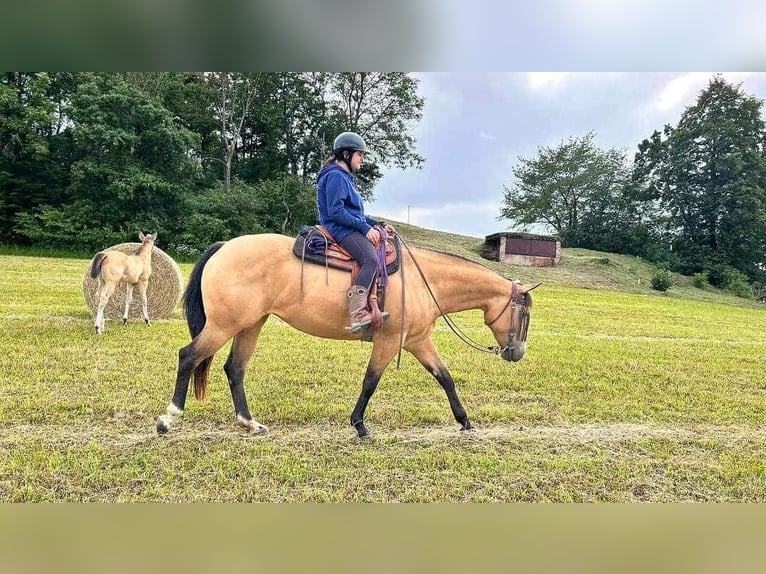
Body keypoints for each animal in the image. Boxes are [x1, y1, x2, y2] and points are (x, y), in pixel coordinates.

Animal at [156, 232, 540, 438]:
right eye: (524, 314)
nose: (517, 353)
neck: (423, 280)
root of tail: (224, 247)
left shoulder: (417, 341)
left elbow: (445, 377)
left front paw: (465, 422)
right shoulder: (389, 342)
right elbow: (370, 381)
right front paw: (359, 425)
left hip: (251, 324)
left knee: (235, 369)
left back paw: (250, 424)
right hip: (224, 325)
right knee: (188, 356)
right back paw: (168, 418)